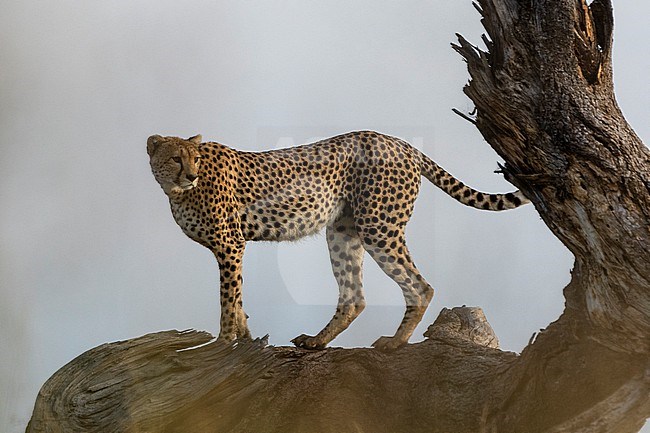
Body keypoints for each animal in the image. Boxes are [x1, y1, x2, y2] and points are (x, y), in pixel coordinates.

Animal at [148, 130, 528, 350]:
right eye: (176, 158)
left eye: (195, 159)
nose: (191, 174)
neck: (177, 192)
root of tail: (401, 142)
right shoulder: (232, 246)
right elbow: (238, 298)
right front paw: (244, 338)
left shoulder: (230, 245)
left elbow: (228, 298)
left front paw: (223, 341)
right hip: (343, 231)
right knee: (354, 298)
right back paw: (317, 341)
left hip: (378, 225)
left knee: (420, 286)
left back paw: (395, 342)